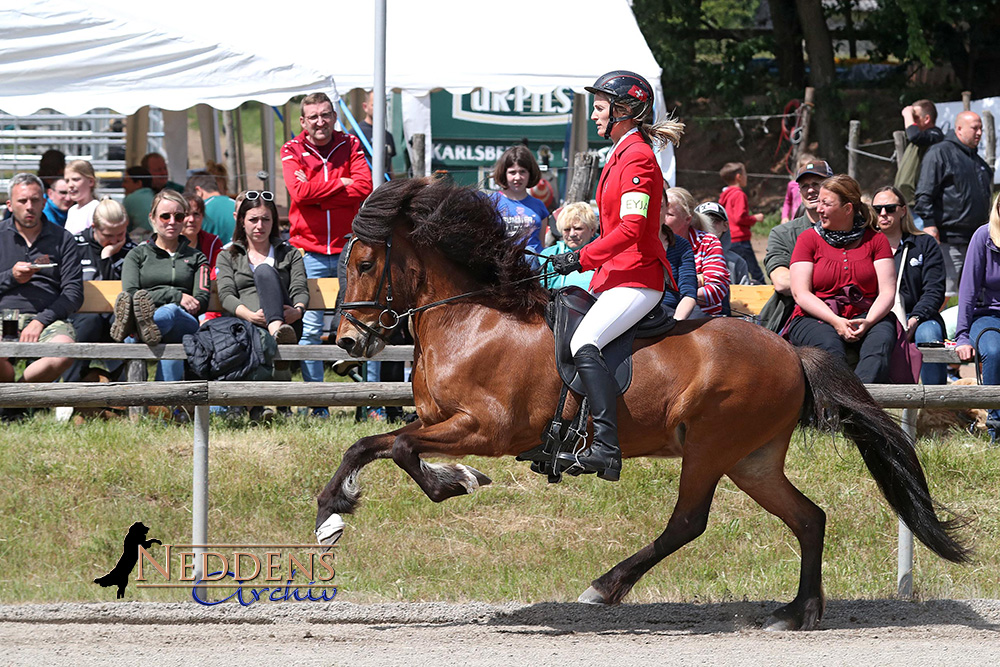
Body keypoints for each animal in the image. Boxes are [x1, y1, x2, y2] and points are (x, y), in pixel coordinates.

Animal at [314, 177, 968, 632]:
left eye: (365, 263)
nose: (347, 343)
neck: (471, 317)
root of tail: (789, 350)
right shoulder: (438, 421)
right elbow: (373, 443)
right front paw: (340, 509)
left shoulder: (486, 428)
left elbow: (398, 447)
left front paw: (440, 485)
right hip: (751, 458)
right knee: (809, 518)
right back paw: (797, 611)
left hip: (710, 447)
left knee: (688, 522)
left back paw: (605, 587)